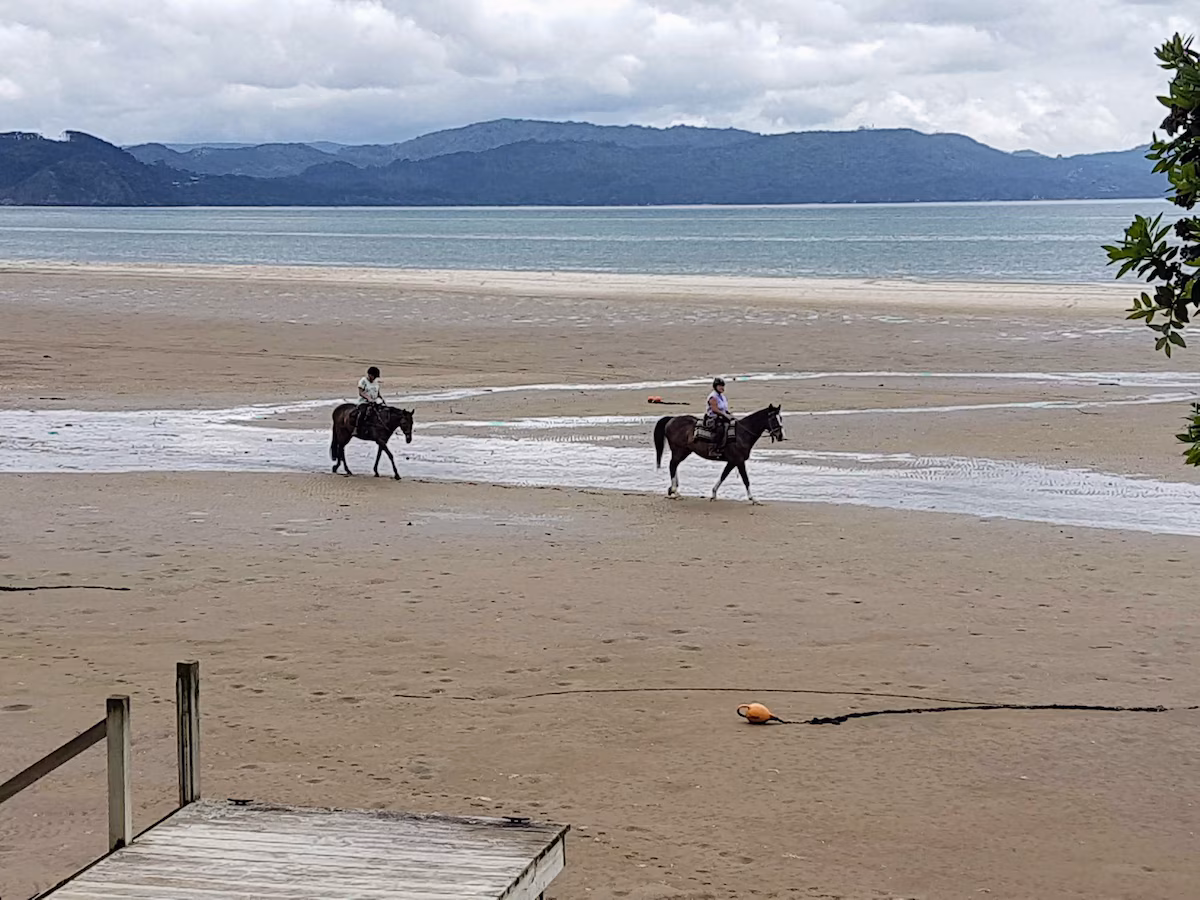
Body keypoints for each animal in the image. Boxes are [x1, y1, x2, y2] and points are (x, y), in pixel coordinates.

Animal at [653, 405, 784, 504]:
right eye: (774, 419)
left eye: (781, 418)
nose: (780, 436)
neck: (741, 434)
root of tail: (672, 419)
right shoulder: (739, 461)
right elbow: (746, 479)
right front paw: (753, 499)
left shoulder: (732, 462)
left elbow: (723, 476)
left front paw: (713, 494)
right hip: (678, 450)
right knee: (672, 465)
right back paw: (674, 491)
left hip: (684, 451)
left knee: (674, 465)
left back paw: (674, 490)